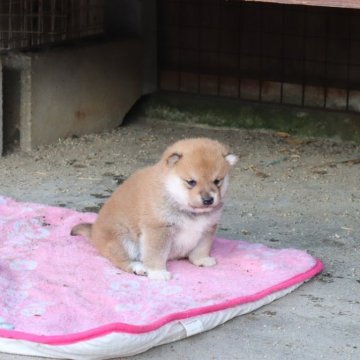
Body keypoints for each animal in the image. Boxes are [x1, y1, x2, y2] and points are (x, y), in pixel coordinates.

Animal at [71, 138, 238, 282]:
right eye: (191, 182)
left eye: (217, 181)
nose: (208, 200)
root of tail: (93, 231)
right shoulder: (158, 229)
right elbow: (156, 254)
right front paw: (158, 273)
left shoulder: (207, 228)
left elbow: (201, 248)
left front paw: (201, 260)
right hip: (123, 240)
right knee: (121, 259)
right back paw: (138, 267)